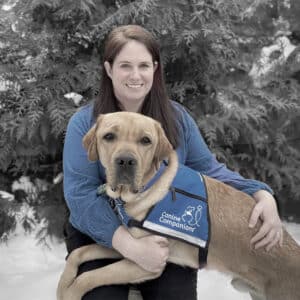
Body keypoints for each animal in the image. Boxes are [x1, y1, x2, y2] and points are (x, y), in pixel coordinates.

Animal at [56, 111, 300, 300]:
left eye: (146, 140)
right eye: (108, 136)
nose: (125, 161)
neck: (148, 187)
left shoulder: (147, 263)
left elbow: (88, 277)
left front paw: (69, 293)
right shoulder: (131, 246)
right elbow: (79, 252)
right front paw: (62, 285)